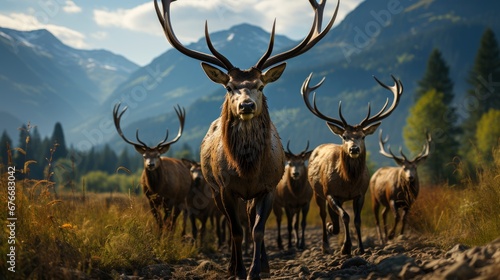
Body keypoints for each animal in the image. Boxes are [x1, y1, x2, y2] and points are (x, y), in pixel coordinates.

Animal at [113, 103, 191, 232]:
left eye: (158, 155)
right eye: (144, 156)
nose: (151, 164)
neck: (157, 189)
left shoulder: (170, 199)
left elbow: (165, 222)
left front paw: (163, 236)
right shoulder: (150, 199)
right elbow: (159, 222)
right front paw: (159, 235)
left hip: (181, 199)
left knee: (174, 221)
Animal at [154, 0, 338, 278]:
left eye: (260, 86)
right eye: (229, 87)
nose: (247, 105)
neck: (247, 170)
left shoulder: (268, 188)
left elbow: (257, 230)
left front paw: (256, 270)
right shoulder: (225, 189)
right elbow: (236, 231)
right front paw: (239, 270)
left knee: (252, 221)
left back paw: (264, 264)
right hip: (215, 191)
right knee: (235, 227)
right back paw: (233, 264)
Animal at [300, 73, 402, 255]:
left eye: (363, 136)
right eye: (344, 136)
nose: (354, 148)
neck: (348, 182)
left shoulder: (360, 193)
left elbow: (357, 220)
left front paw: (360, 248)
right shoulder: (330, 192)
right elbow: (345, 216)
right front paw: (346, 247)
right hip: (317, 192)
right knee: (323, 214)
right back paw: (326, 243)